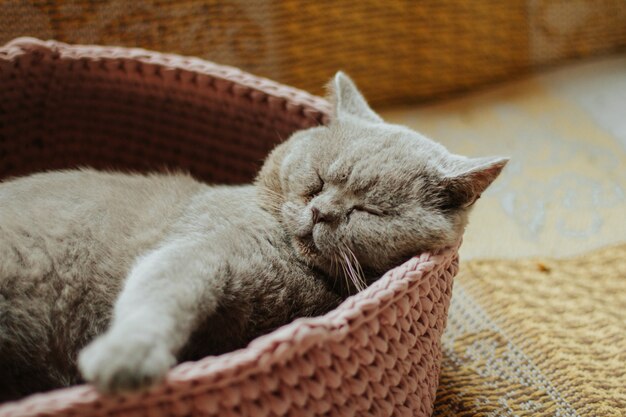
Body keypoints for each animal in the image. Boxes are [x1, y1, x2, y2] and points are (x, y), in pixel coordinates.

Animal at [0, 72, 508, 400]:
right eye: (318, 179)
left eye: (367, 210)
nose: (321, 212)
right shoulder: (198, 251)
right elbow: (162, 294)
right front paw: (127, 360)